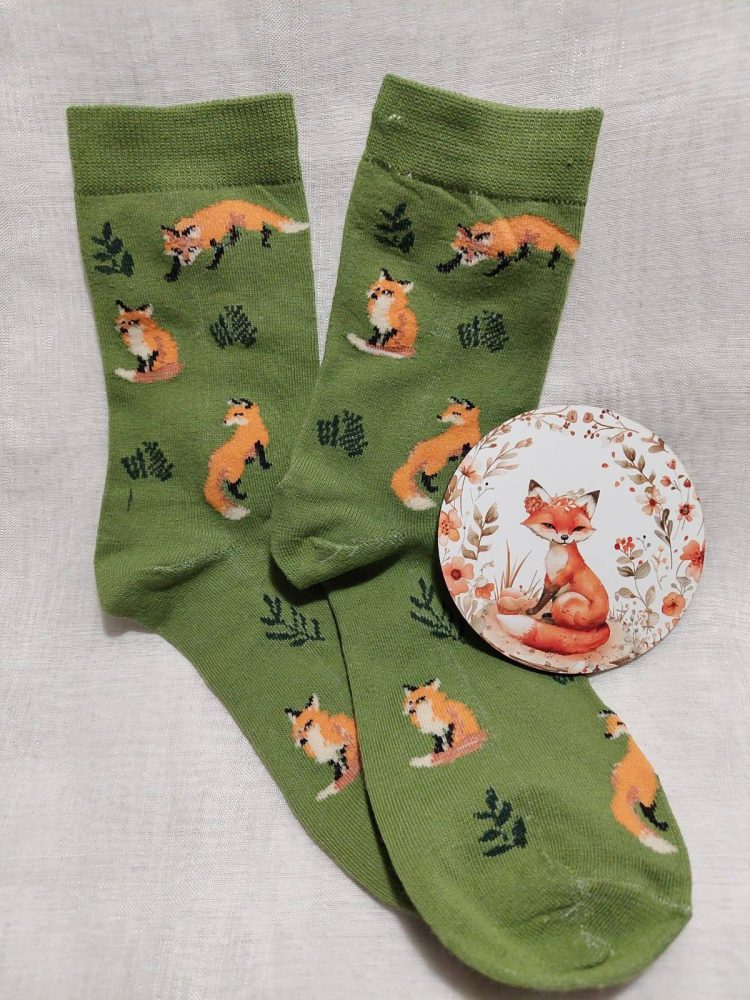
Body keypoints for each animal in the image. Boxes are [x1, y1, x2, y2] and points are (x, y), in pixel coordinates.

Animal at [161, 199, 309, 281]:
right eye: (178, 250)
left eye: (191, 248)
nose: (187, 261)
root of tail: (242, 202)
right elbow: (175, 264)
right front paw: (172, 276)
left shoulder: (214, 244)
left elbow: (218, 253)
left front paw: (212, 266)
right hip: (232, 226)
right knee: (237, 234)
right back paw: (231, 243)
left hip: (250, 224)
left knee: (266, 229)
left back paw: (265, 242)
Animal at [437, 216, 579, 274]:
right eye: (464, 249)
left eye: (476, 251)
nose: (468, 261)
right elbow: (455, 260)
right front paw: (445, 266)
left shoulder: (503, 253)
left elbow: (502, 264)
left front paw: (491, 273)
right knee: (526, 251)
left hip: (543, 244)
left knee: (556, 250)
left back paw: (551, 262)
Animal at [496, 481, 610, 655]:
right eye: (549, 525)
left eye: (577, 528)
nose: (564, 537)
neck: (555, 560)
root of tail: (602, 622)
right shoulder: (548, 578)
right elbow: (544, 596)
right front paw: (535, 610)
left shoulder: (563, 577)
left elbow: (545, 598)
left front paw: (531, 612)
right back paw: (549, 617)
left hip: (566, 600)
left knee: (569, 627)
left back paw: (552, 622)